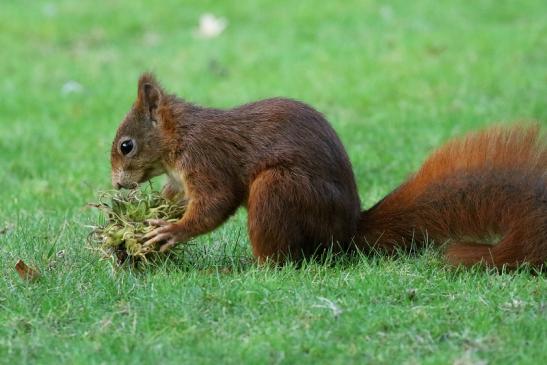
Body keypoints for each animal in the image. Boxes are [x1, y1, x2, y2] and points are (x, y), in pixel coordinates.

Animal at [109, 73, 544, 268]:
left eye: (126, 145)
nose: (117, 185)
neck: (181, 135)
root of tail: (346, 233)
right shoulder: (181, 177)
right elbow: (178, 196)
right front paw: (147, 215)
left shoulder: (207, 159)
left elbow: (216, 204)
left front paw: (171, 231)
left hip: (280, 189)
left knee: (280, 259)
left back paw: (249, 266)